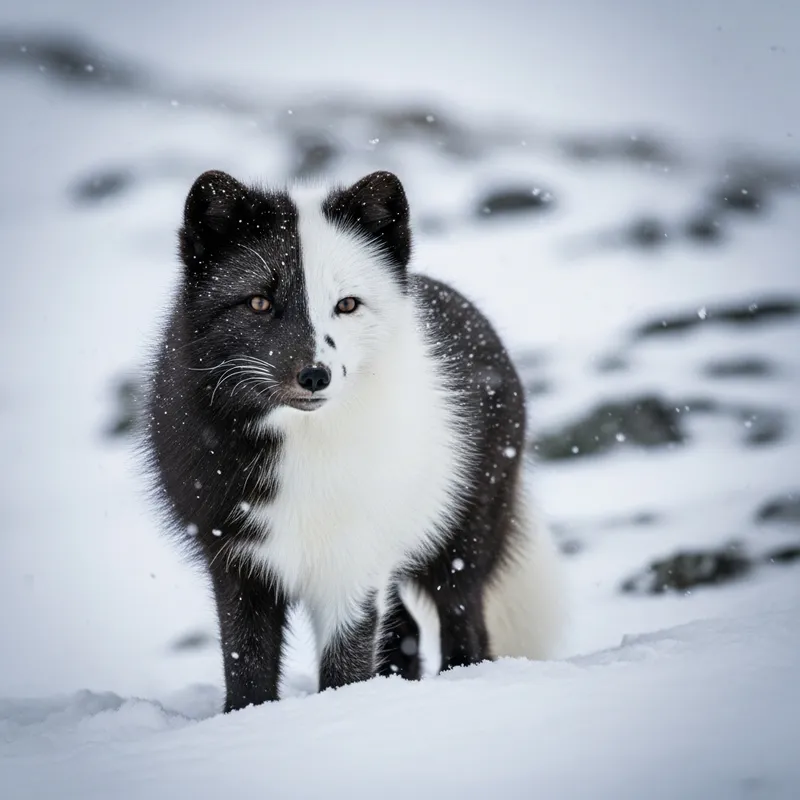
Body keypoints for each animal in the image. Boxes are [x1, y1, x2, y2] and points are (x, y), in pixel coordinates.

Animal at [144, 169, 565, 712]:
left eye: (346, 305)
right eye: (259, 302)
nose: (314, 375)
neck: (302, 450)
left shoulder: (353, 563)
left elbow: (344, 668)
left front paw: (340, 715)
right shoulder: (236, 562)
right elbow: (246, 669)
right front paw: (247, 718)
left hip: (460, 544)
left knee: (465, 626)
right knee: (406, 633)